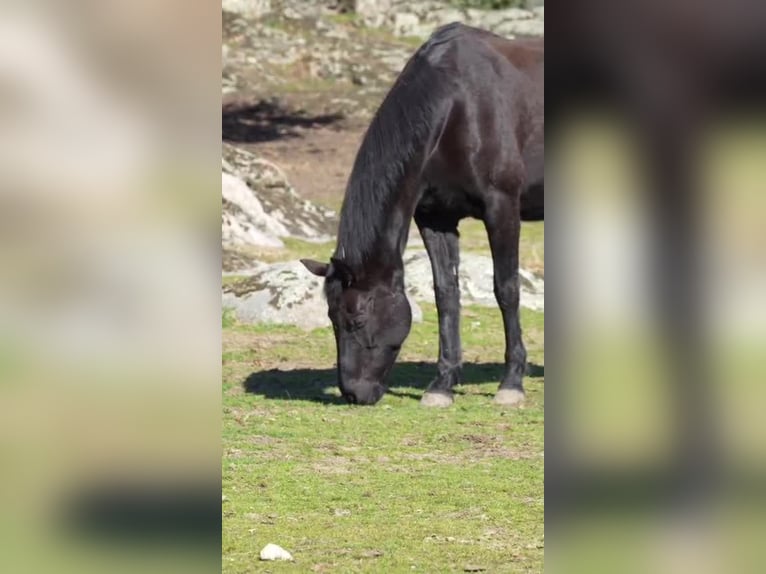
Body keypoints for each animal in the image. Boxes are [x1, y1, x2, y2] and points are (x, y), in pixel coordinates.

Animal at [301, 22, 543, 406]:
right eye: (331, 318)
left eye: (356, 319)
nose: (353, 393)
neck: (461, 106)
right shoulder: (435, 218)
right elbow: (446, 295)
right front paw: (442, 384)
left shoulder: (502, 207)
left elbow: (506, 289)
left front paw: (512, 383)